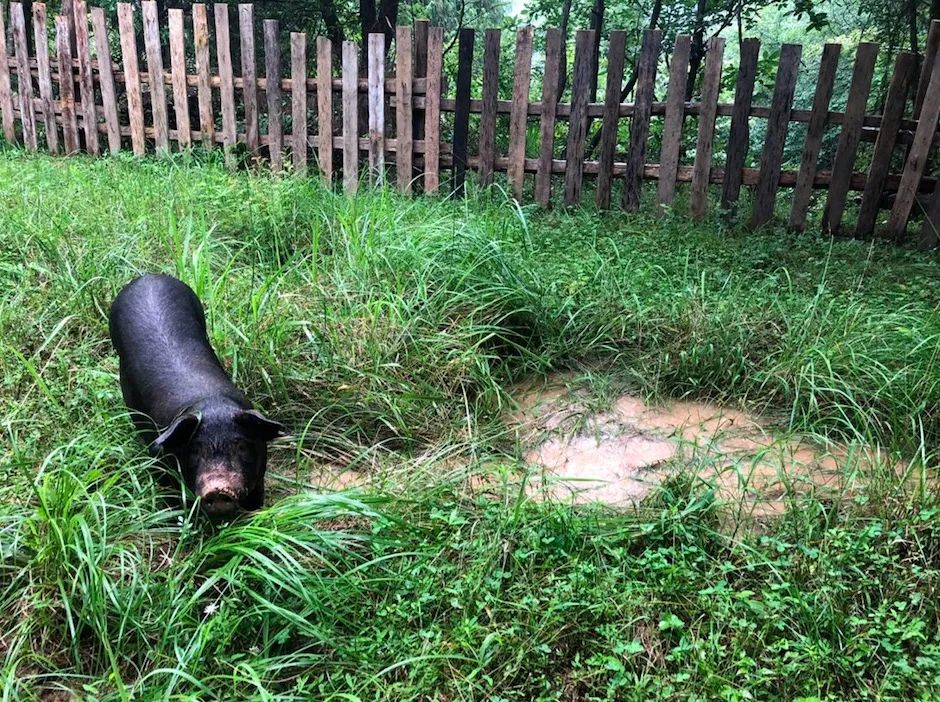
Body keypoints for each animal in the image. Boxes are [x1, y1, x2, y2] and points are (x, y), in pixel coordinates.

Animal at [108, 276, 284, 516]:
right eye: (195, 449)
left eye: (240, 446)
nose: (218, 488)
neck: (213, 405)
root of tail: (148, 277)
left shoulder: (259, 476)